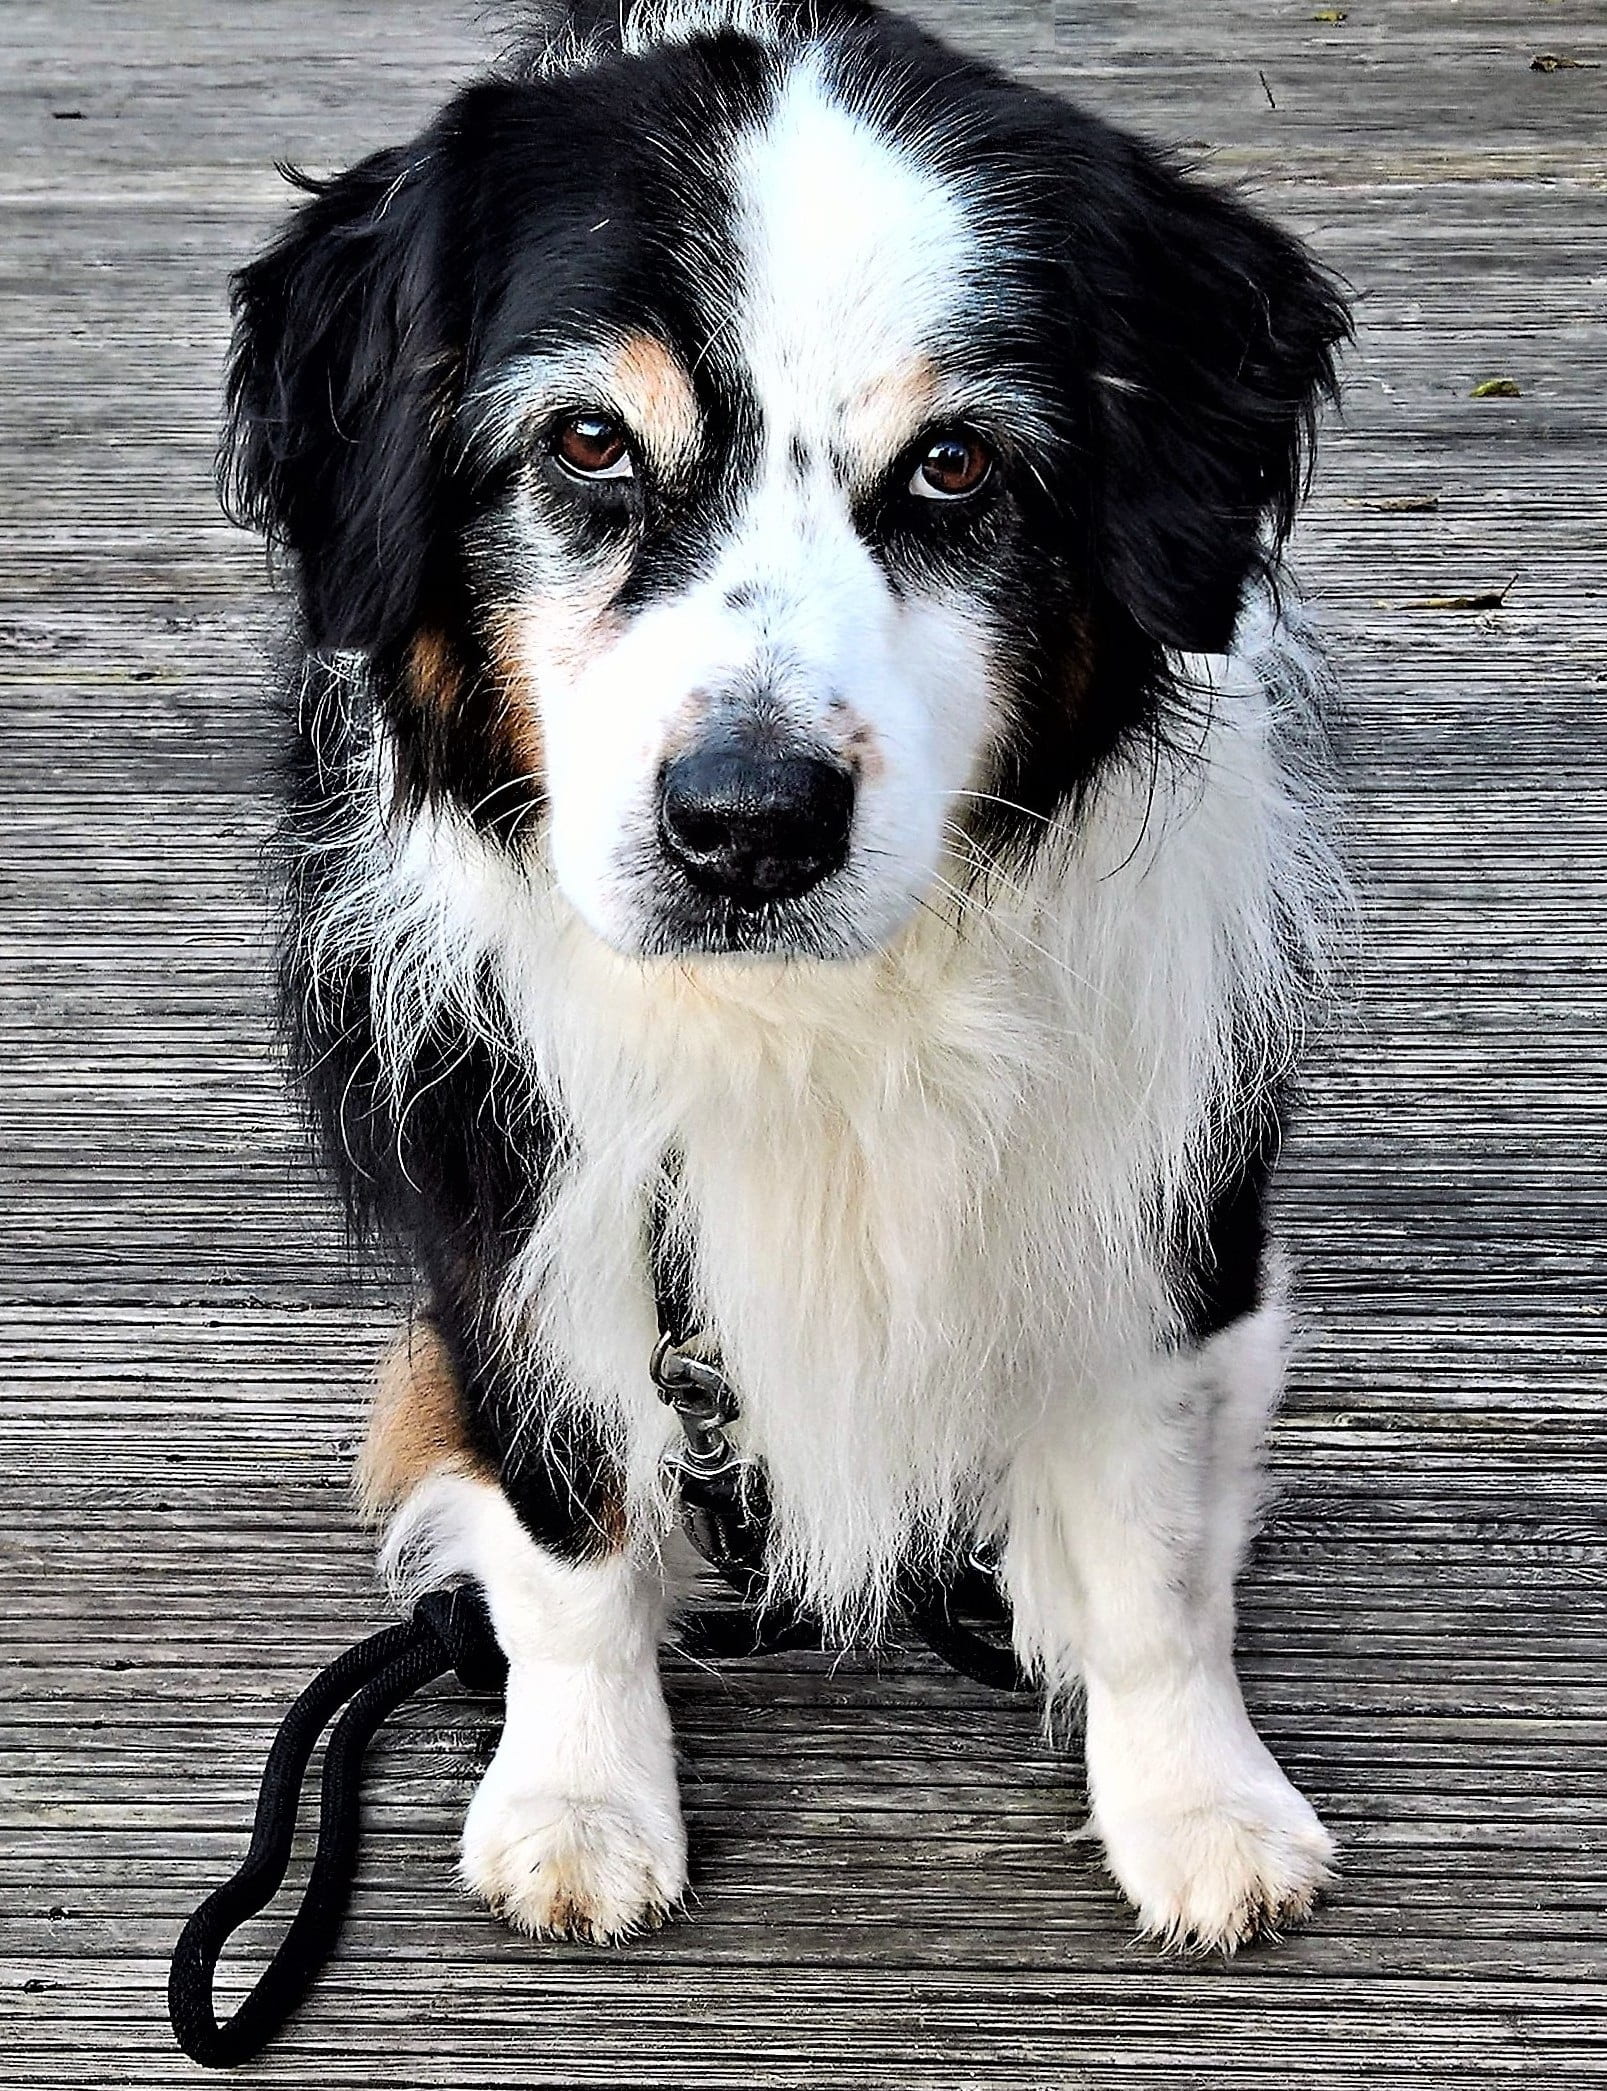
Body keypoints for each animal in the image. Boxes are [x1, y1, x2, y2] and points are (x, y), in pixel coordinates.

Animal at [222, 0, 1354, 1957]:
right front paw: (579, 1802)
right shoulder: (514, 1168)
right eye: (586, 442)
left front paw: (1198, 1807)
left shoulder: (1150, 1187)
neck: (816, 1023)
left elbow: (1149, 1548)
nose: (745, 826)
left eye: (957, 465)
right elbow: (568, 1518)